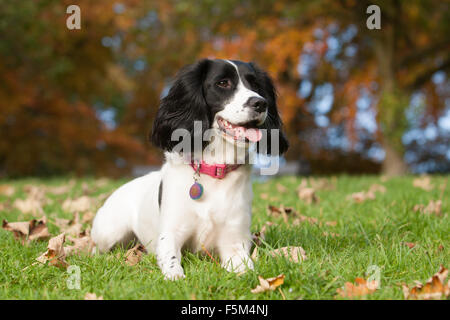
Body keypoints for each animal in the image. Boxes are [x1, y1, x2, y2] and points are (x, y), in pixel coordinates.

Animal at [91, 58, 288, 278]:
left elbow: (245, 268)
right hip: (109, 232)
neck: (215, 169)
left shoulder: (234, 240)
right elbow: (171, 261)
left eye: (255, 84)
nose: (260, 103)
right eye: (223, 83)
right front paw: (176, 277)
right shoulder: (170, 234)